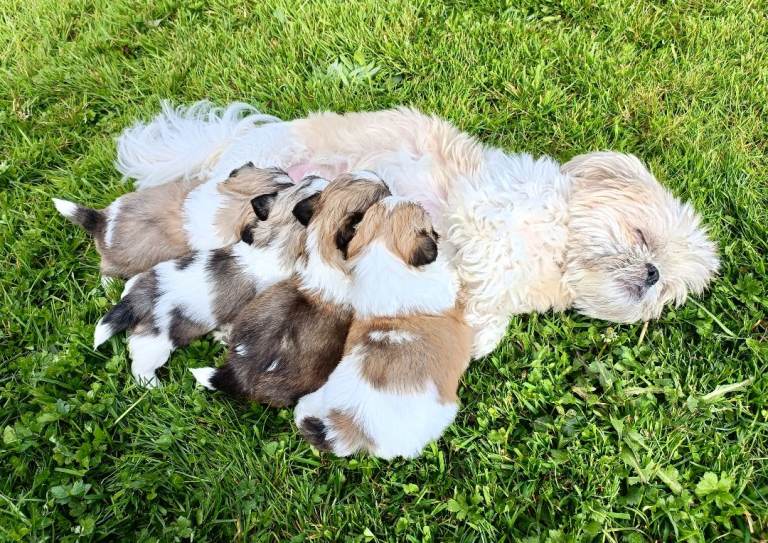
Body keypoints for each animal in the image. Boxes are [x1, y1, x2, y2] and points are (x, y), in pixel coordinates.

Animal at [93, 175, 328, 387]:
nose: (317, 176)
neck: (275, 239)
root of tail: (138, 298)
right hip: (154, 344)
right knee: (141, 367)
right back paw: (154, 385)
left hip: (135, 282)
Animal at [115, 104, 720, 356]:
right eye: (641, 236)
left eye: (668, 289)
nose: (651, 273)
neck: (557, 257)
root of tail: (229, 142)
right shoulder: (486, 212)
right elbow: (482, 259)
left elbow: (489, 321)